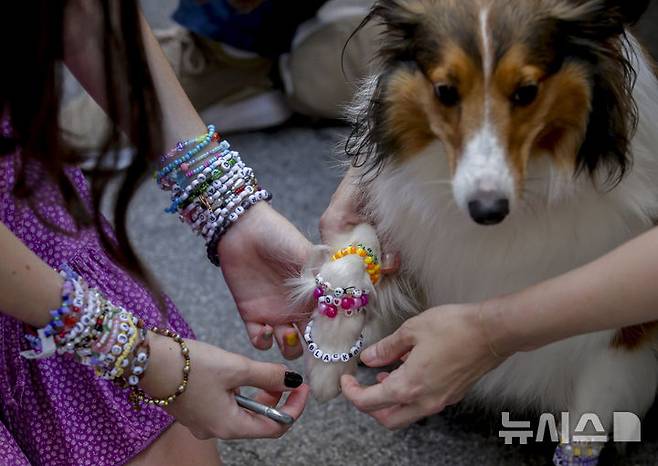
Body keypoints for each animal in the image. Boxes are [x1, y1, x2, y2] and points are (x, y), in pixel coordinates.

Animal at [294, 0, 656, 462]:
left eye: (527, 91)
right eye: (445, 91)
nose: (487, 210)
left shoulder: (621, 341)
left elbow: (584, 426)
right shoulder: (395, 209)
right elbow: (356, 249)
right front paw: (330, 356)